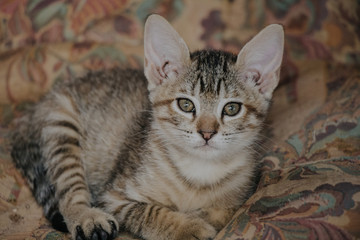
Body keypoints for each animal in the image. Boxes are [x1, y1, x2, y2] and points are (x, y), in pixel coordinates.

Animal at [10, 14, 284, 240]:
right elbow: (148, 211)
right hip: (61, 125)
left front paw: (205, 216)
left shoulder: (243, 191)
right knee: (69, 193)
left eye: (231, 108)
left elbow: (224, 211)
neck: (198, 173)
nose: (207, 133)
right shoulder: (112, 197)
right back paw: (87, 217)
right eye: (186, 104)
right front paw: (188, 227)